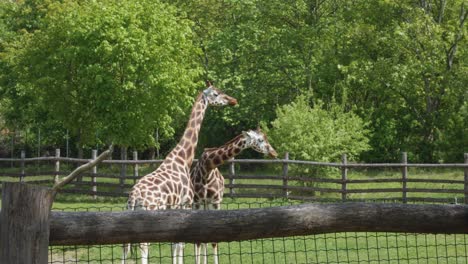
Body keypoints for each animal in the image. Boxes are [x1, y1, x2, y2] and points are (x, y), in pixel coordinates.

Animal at [122, 82, 238, 264]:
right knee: (144, 246)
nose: (233, 100)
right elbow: (181, 243)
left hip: (129, 214)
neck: (183, 158)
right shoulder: (186, 203)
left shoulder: (175, 207)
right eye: (216, 94)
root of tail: (134, 197)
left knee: (125, 247)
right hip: (149, 214)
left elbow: (174, 244)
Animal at [190, 128, 278, 264]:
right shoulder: (197, 201)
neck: (207, 168)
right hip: (201, 203)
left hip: (207, 204)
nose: (274, 153)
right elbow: (197, 240)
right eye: (260, 140)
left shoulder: (215, 202)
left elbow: (213, 240)